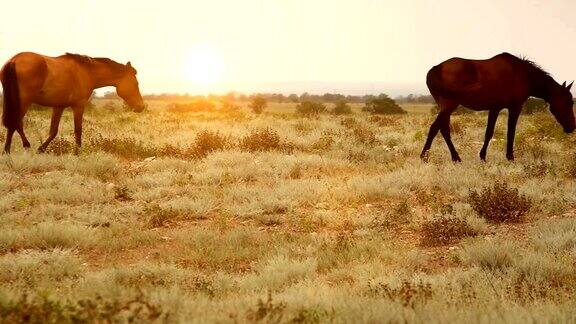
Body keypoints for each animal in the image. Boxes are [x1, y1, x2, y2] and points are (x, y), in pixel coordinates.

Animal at [0, 52, 144, 154]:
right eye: (135, 83)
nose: (141, 107)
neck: (86, 71)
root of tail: (14, 60)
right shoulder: (78, 106)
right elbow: (78, 130)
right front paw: (77, 152)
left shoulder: (59, 106)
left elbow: (53, 131)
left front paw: (41, 149)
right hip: (23, 102)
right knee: (15, 124)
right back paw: (19, 147)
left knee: (14, 124)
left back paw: (8, 150)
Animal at [420, 52, 572, 162]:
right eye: (569, 102)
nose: (572, 127)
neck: (522, 74)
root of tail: (436, 69)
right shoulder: (515, 107)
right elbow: (511, 132)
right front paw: (510, 157)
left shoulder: (495, 108)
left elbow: (489, 133)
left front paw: (482, 157)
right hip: (449, 105)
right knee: (435, 128)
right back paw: (425, 157)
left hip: (445, 107)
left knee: (443, 130)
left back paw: (455, 157)